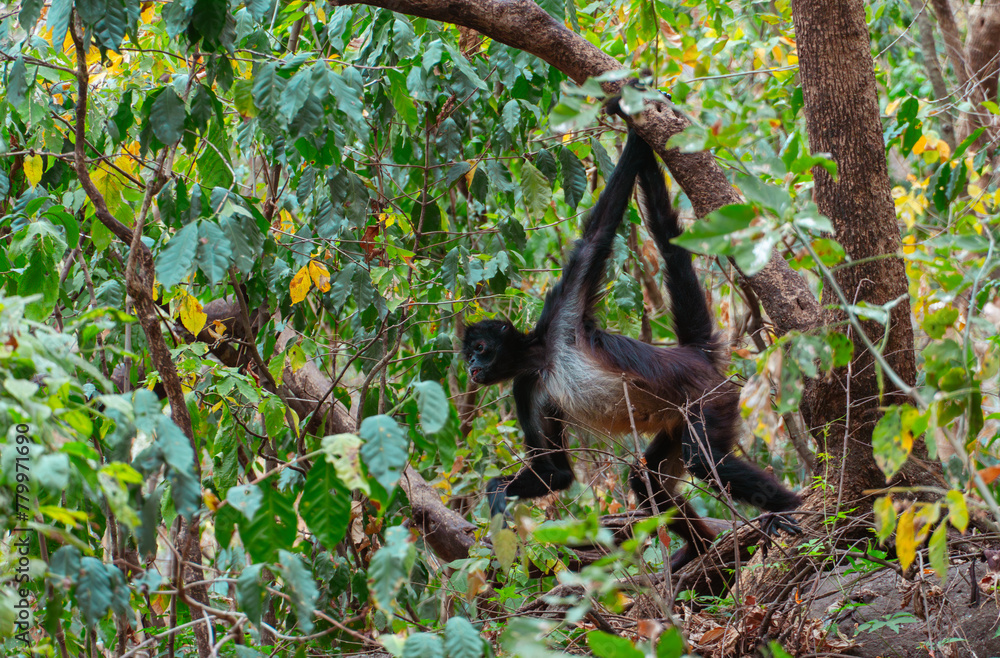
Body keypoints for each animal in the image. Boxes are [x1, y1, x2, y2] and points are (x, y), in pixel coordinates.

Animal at [462, 130, 800, 569]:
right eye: (468, 353)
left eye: (481, 347)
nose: (471, 365)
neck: (543, 356)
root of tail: (692, 355)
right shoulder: (527, 386)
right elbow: (558, 475)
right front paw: (497, 491)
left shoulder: (563, 311)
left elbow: (598, 233)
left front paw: (634, 133)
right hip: (678, 419)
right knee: (646, 477)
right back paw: (700, 549)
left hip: (711, 400)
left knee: (705, 463)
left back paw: (792, 510)